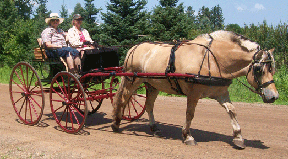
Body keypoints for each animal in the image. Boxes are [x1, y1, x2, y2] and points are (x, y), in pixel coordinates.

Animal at [111, 30, 280, 148]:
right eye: (258, 69)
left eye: (272, 69)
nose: (274, 96)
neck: (214, 60)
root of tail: (134, 47)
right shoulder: (193, 93)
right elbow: (190, 114)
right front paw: (187, 136)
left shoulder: (222, 93)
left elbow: (232, 110)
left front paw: (238, 137)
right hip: (132, 80)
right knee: (123, 99)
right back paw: (116, 123)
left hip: (152, 85)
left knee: (149, 105)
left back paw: (154, 128)